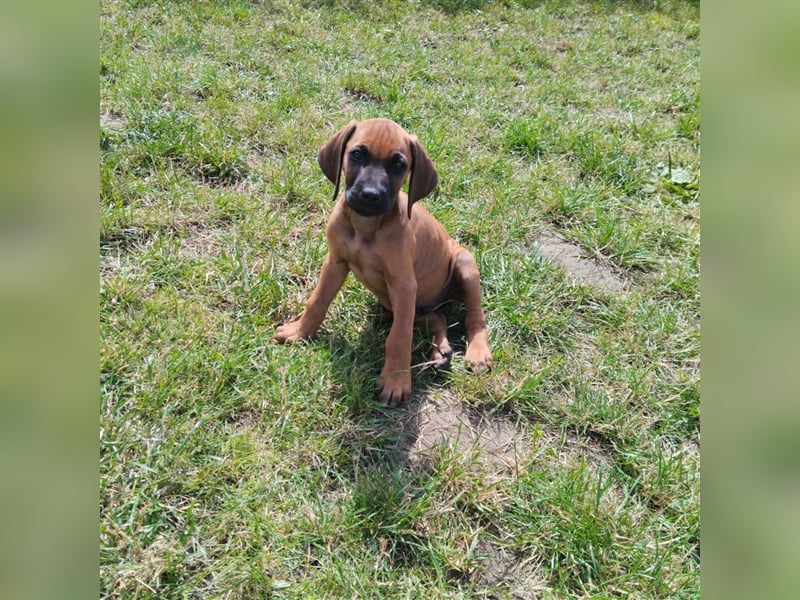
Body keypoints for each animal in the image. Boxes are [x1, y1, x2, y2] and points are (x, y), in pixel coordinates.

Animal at [276, 117, 490, 406]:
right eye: (357, 154)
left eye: (399, 164)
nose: (370, 195)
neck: (366, 227)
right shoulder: (335, 263)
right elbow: (317, 301)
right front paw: (300, 331)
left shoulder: (403, 285)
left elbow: (399, 337)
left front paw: (395, 382)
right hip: (400, 305)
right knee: (438, 316)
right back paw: (440, 350)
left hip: (463, 265)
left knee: (474, 316)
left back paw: (477, 352)